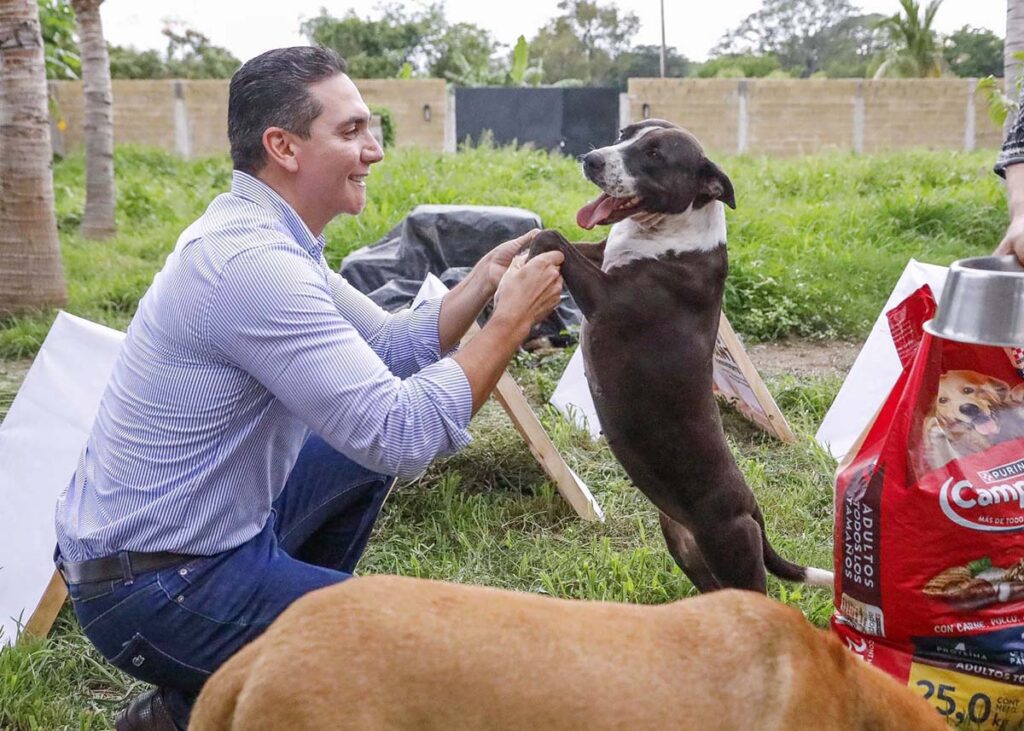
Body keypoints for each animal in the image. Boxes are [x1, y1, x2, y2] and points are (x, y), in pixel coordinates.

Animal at [528, 120, 831, 593]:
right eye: (624, 134)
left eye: (655, 154)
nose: (591, 159)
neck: (670, 232)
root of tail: (752, 508)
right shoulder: (600, 253)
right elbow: (569, 238)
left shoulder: (606, 299)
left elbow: (550, 236)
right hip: (685, 547)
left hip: (734, 553)